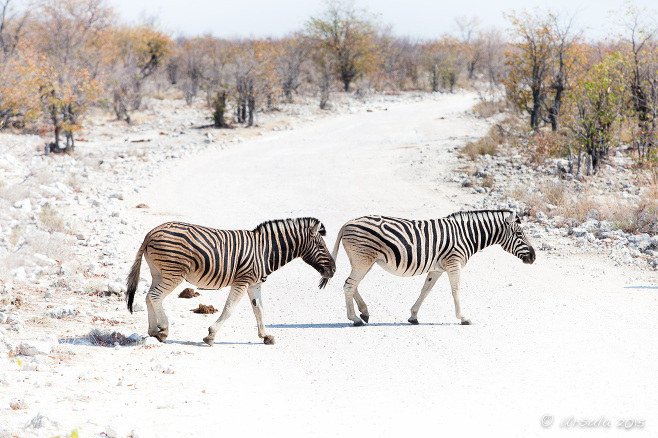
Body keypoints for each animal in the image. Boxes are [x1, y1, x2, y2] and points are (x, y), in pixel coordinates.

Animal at [126, 218, 336, 346]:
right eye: (320, 246)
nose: (334, 270)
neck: (265, 251)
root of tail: (152, 232)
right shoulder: (242, 281)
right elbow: (229, 308)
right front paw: (210, 335)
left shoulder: (255, 284)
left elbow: (259, 310)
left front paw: (265, 336)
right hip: (174, 273)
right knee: (155, 296)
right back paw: (163, 331)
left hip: (159, 273)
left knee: (149, 297)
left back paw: (153, 331)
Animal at [320, 210, 536, 326]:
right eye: (519, 234)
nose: (534, 257)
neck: (466, 235)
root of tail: (347, 223)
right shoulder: (453, 263)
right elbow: (456, 291)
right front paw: (463, 318)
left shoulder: (437, 268)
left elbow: (425, 290)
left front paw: (413, 316)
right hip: (363, 260)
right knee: (349, 285)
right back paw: (355, 319)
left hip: (364, 261)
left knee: (351, 285)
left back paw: (364, 312)